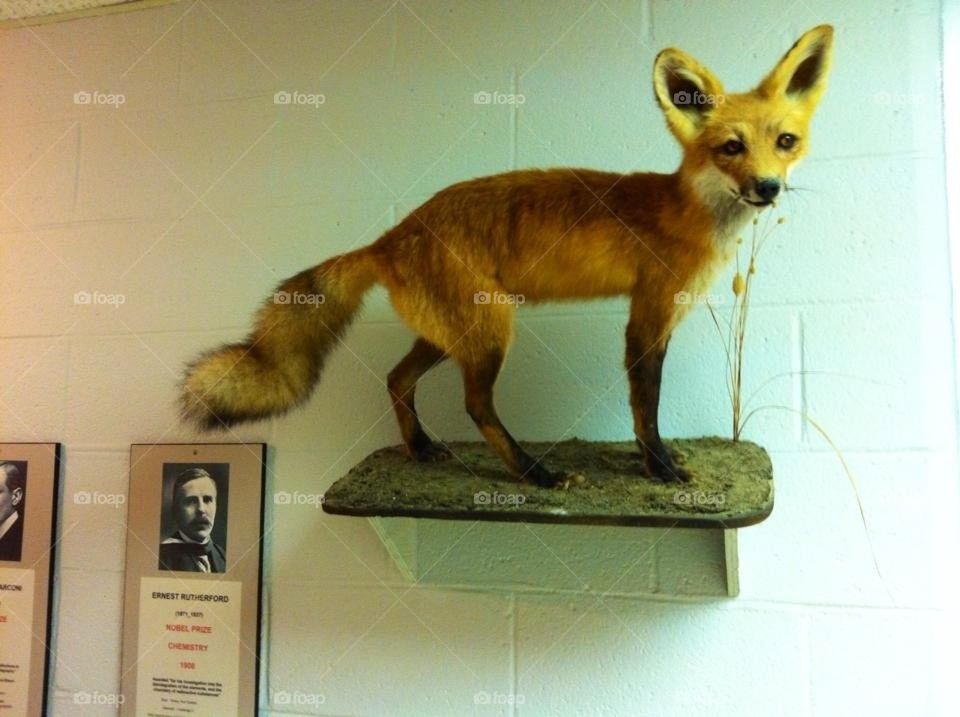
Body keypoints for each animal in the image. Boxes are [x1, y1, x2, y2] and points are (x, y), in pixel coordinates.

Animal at [180, 25, 834, 488]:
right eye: (731, 148)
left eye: (786, 142)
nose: (768, 188)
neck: (684, 210)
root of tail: (390, 235)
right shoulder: (647, 314)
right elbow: (645, 406)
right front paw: (661, 469)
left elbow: (644, 406)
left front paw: (656, 464)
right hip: (490, 330)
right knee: (475, 405)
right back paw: (533, 473)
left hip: (452, 333)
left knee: (396, 378)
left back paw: (421, 449)